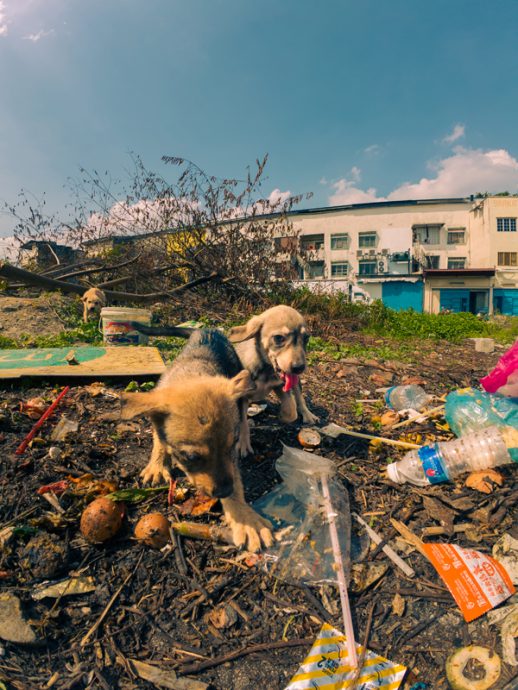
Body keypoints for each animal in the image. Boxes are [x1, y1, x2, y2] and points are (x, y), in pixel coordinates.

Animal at [118, 326, 272, 552]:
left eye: (231, 447)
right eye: (191, 457)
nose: (225, 491)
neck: (192, 373)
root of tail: (205, 328)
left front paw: (244, 519)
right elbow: (159, 438)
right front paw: (157, 464)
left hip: (241, 384)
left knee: (243, 413)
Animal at [230, 304, 318, 444]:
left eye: (306, 338)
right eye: (278, 338)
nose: (299, 368)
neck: (265, 369)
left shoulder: (280, 386)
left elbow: (292, 411)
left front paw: (281, 417)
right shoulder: (242, 396)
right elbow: (242, 422)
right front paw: (243, 443)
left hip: (295, 381)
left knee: (299, 397)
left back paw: (308, 414)